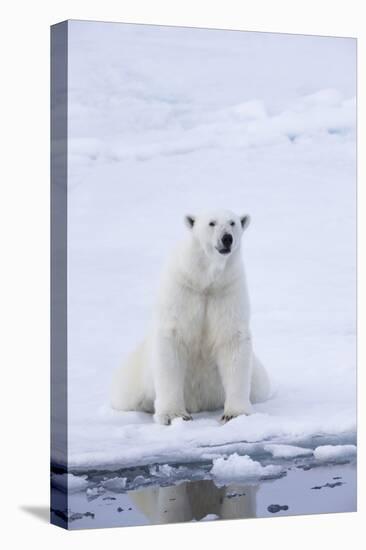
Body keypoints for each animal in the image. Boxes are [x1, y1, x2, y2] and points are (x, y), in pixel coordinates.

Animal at [111, 211, 268, 426]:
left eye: (233, 223)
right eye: (211, 223)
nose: (227, 238)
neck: (205, 280)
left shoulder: (227, 291)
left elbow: (232, 341)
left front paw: (235, 414)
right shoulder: (182, 290)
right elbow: (172, 341)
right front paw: (174, 415)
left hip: (257, 377)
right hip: (134, 377)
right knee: (126, 395)